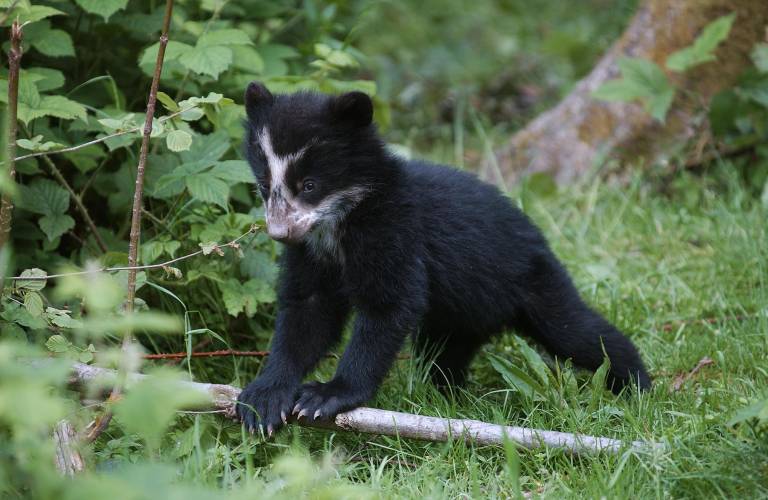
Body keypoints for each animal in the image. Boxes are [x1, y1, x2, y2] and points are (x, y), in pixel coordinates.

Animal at [237, 81, 652, 434]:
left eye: (309, 185)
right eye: (264, 186)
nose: (280, 233)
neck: (339, 224)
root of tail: (537, 237)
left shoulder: (396, 231)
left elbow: (390, 306)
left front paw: (326, 395)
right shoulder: (310, 254)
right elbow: (306, 310)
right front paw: (263, 399)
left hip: (532, 280)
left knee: (577, 331)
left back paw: (638, 385)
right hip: (460, 314)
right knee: (445, 353)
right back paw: (448, 395)